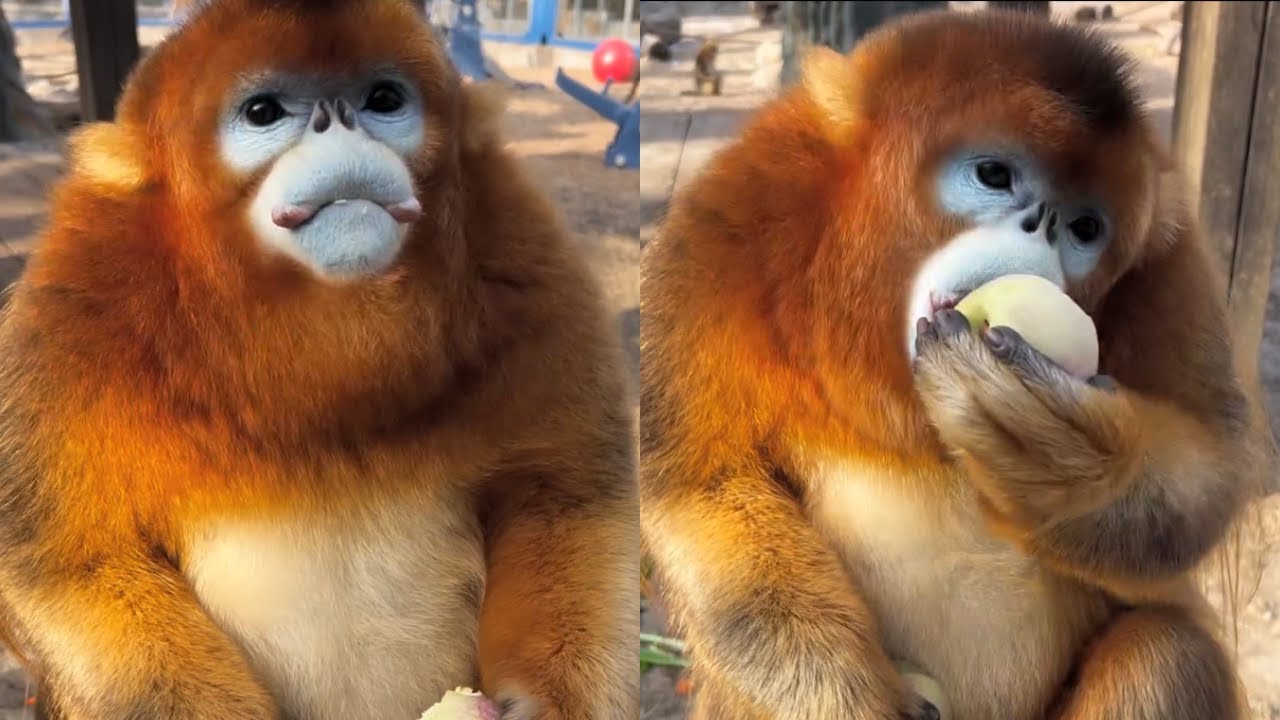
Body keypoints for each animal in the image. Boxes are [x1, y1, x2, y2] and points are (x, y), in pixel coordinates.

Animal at [0, 1, 638, 719]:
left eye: (383, 100)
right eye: (264, 113)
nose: (341, 123)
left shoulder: (529, 259)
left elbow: (566, 496)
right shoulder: (69, 313)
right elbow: (70, 568)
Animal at [639, 9, 1271, 720]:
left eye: (1085, 228)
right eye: (994, 175)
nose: (1044, 225)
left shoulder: (1174, 268)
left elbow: (1212, 476)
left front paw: (1077, 471)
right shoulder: (719, 234)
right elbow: (703, 493)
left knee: (1165, 651)